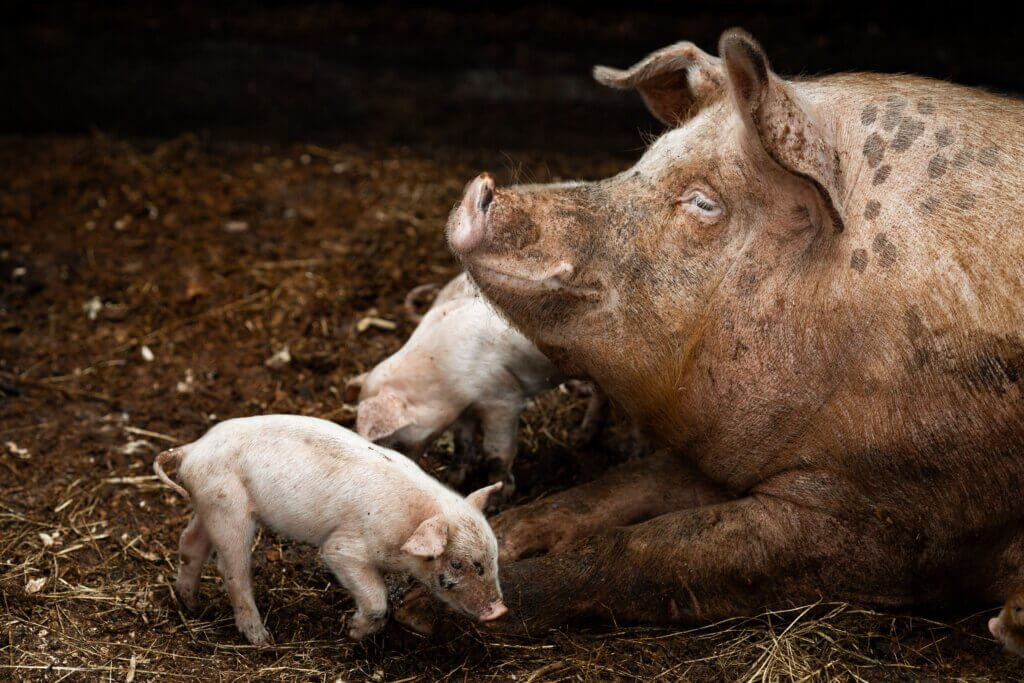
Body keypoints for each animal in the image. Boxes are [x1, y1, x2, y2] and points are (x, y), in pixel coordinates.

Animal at [152, 414, 506, 645]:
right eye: (456, 563)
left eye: (493, 557)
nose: (499, 611)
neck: (408, 525)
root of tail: (191, 448)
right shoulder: (344, 548)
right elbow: (374, 596)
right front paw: (351, 632)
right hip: (229, 509)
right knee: (231, 570)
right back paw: (263, 640)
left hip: (208, 503)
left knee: (190, 543)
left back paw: (192, 605)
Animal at [345, 272, 606, 494]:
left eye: (388, 442)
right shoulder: (463, 411)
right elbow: (462, 443)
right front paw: (453, 481)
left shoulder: (504, 400)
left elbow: (496, 452)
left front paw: (498, 498)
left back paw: (579, 438)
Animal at [428, 26, 1024, 644]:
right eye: (644, 161)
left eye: (703, 202)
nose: (482, 188)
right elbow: (617, 486)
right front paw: (499, 532)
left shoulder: (891, 520)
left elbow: (643, 553)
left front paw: (422, 614)